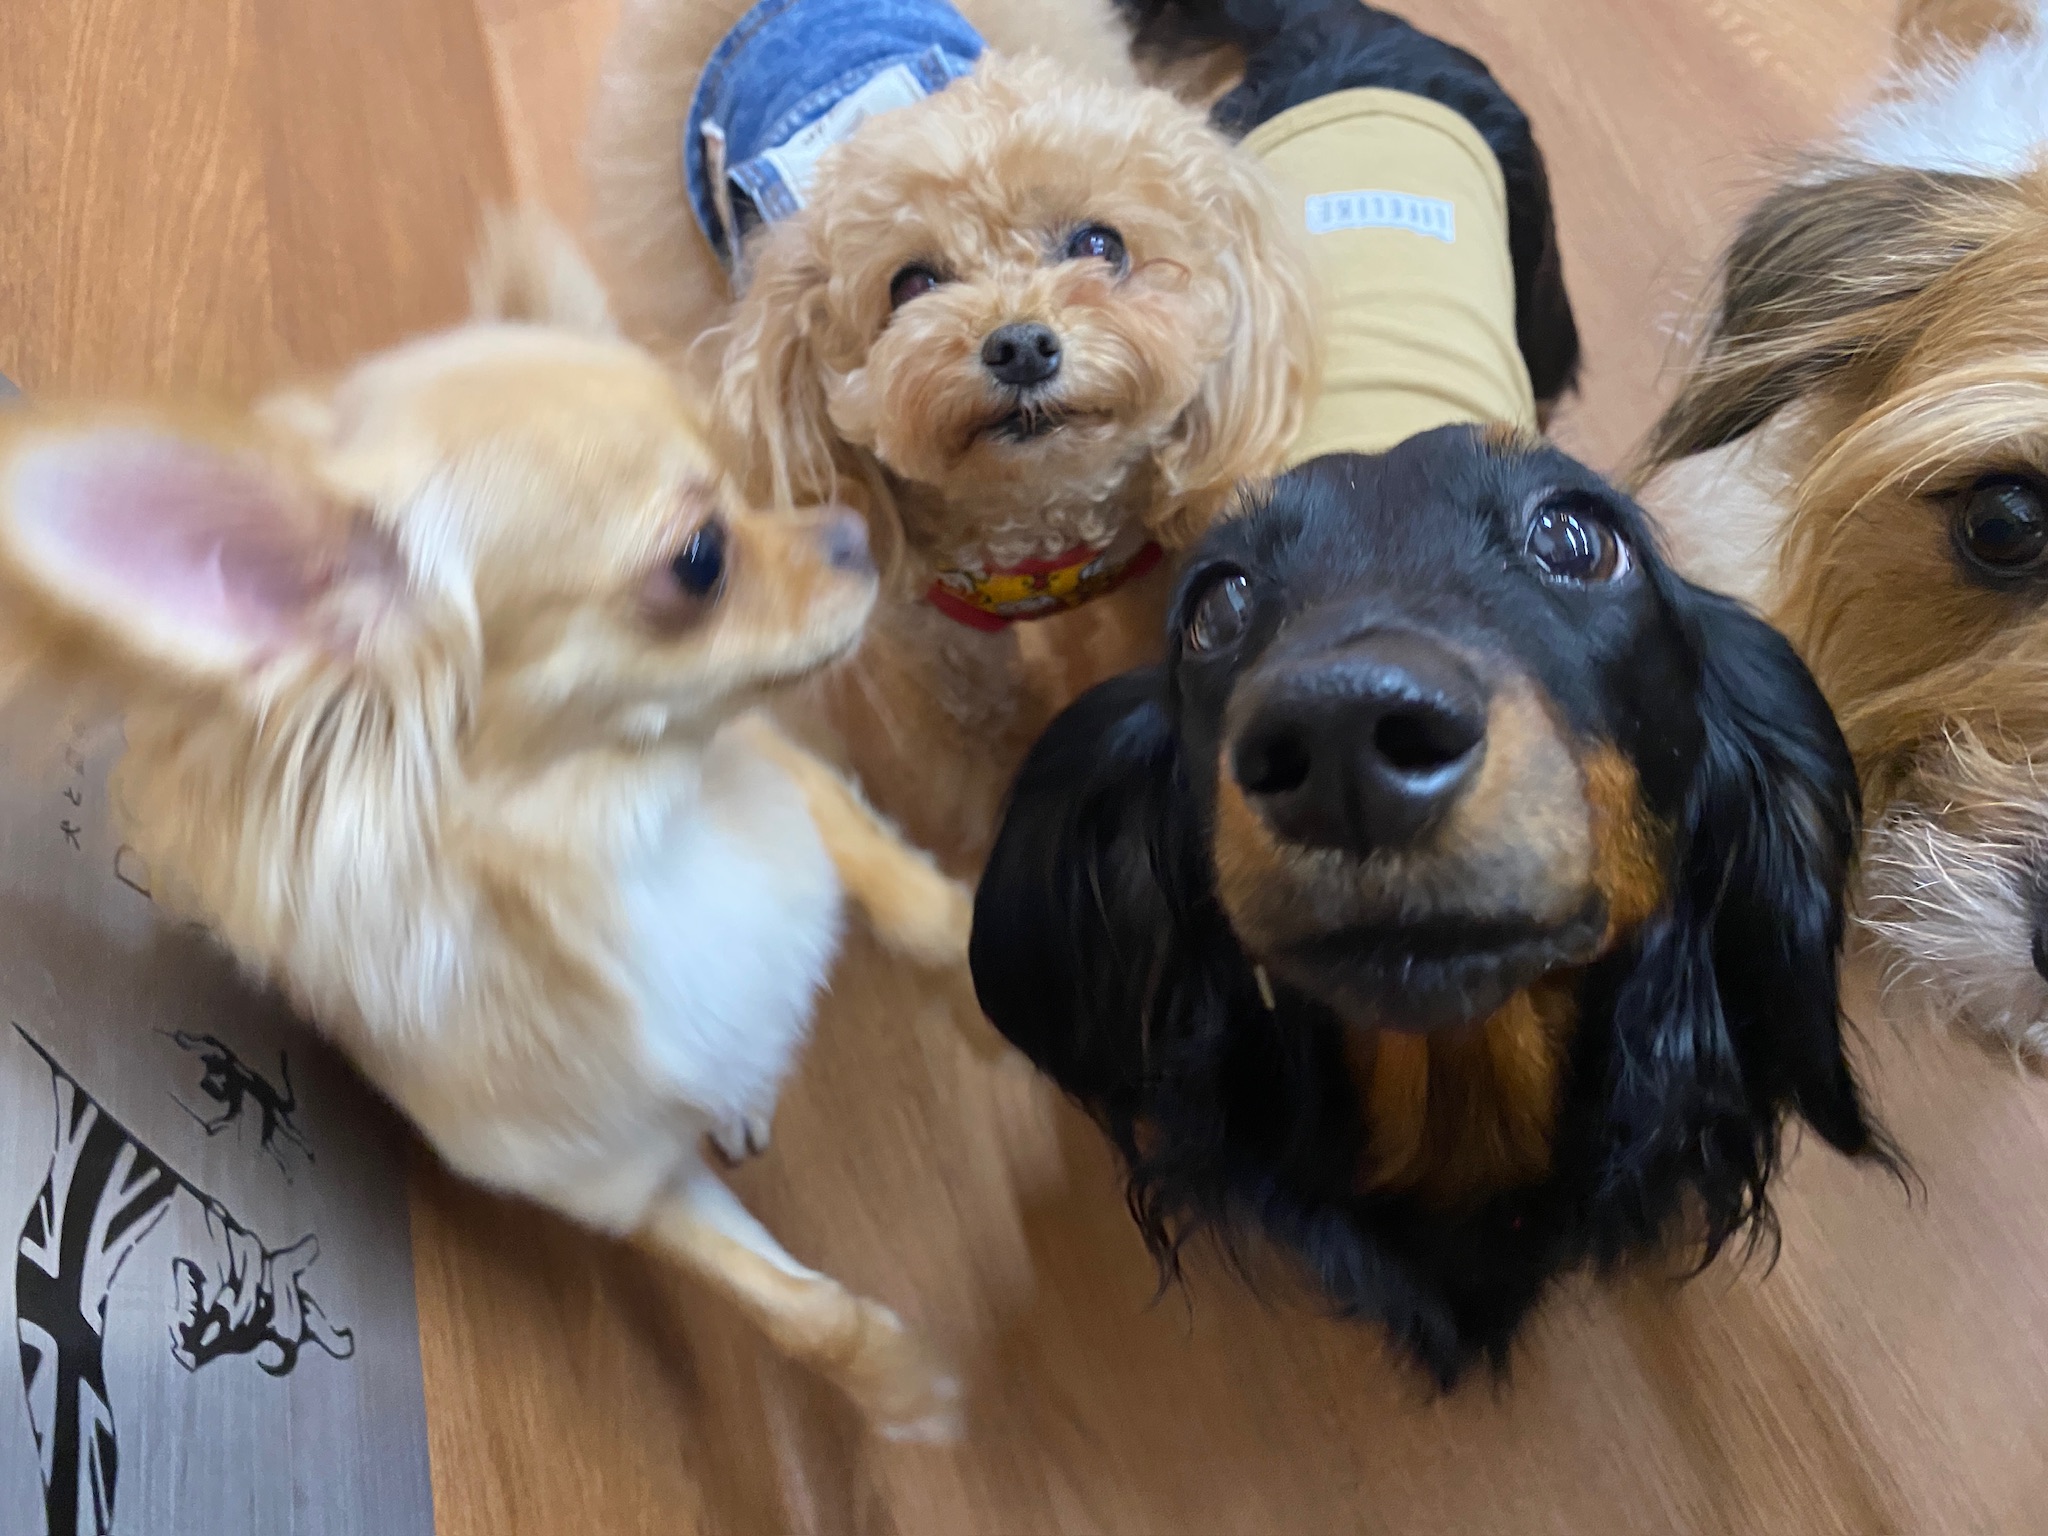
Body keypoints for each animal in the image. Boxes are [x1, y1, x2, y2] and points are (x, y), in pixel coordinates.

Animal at [0, 211, 971, 1437]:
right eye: (700, 560)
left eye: (746, 481)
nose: (848, 533)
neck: (637, 841)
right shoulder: (624, 1175)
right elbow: (796, 1312)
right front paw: (904, 1388)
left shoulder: (770, 772)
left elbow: (893, 881)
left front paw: (975, 944)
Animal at [585, 0, 1321, 866]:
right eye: (912, 283)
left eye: (1100, 244)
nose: (1021, 346)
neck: (1036, 526)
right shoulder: (943, 661)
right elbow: (982, 754)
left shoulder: (1145, 575)